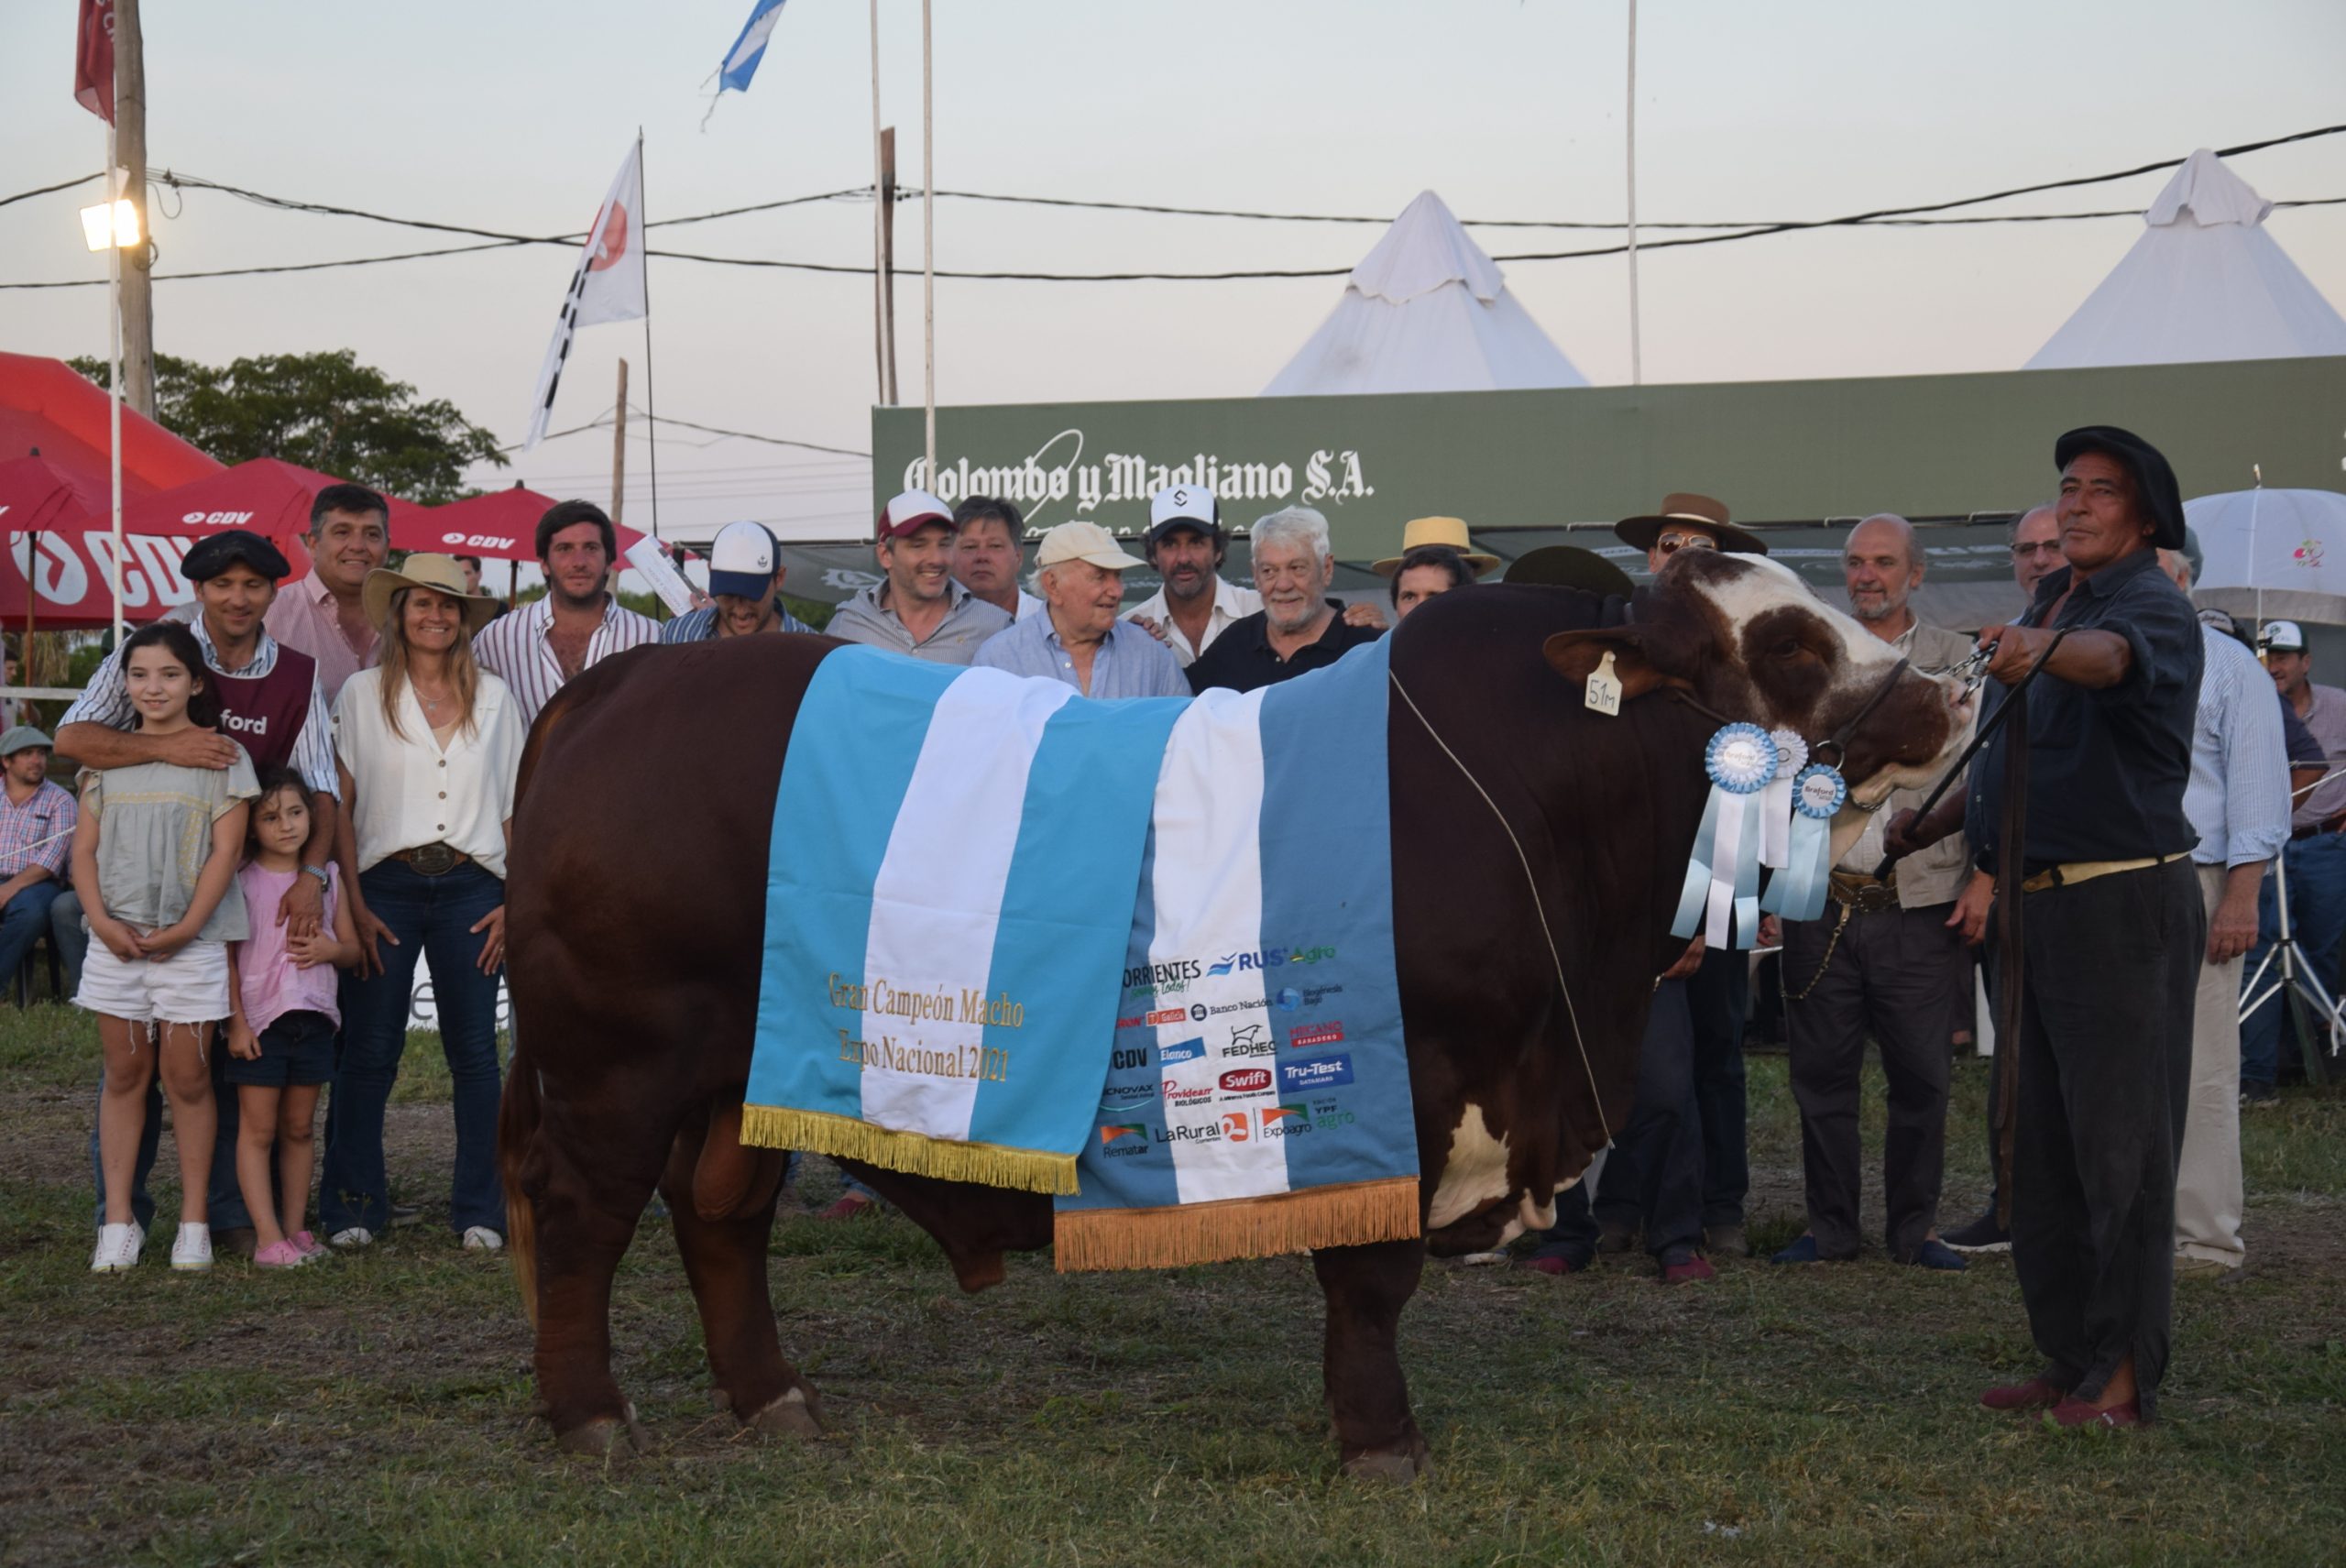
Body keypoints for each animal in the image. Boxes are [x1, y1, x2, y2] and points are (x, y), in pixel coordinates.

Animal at [499, 554, 1979, 1483]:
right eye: (1786, 642)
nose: (1947, 690)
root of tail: (614, 685)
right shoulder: (1401, 1084)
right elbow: (1371, 1275)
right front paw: (1379, 1435)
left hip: (742, 1070)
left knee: (720, 1214)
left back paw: (774, 1398)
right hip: (617, 1056)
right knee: (582, 1216)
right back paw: (589, 1417)